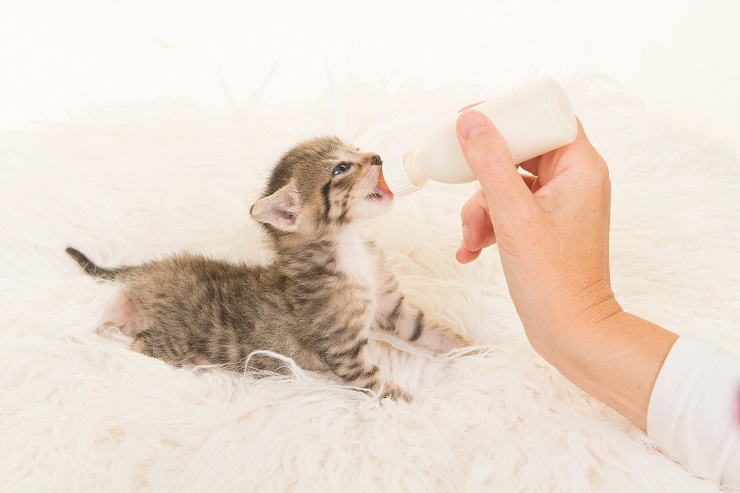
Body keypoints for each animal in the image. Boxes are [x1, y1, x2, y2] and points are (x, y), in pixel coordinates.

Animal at [71, 135, 474, 400]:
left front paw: (480, 354)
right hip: (171, 339)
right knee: (138, 344)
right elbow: (377, 385)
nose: (377, 157)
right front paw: (417, 410)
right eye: (341, 168)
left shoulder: (391, 307)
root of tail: (155, 270)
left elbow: (435, 333)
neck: (350, 249)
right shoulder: (343, 351)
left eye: (356, 148)